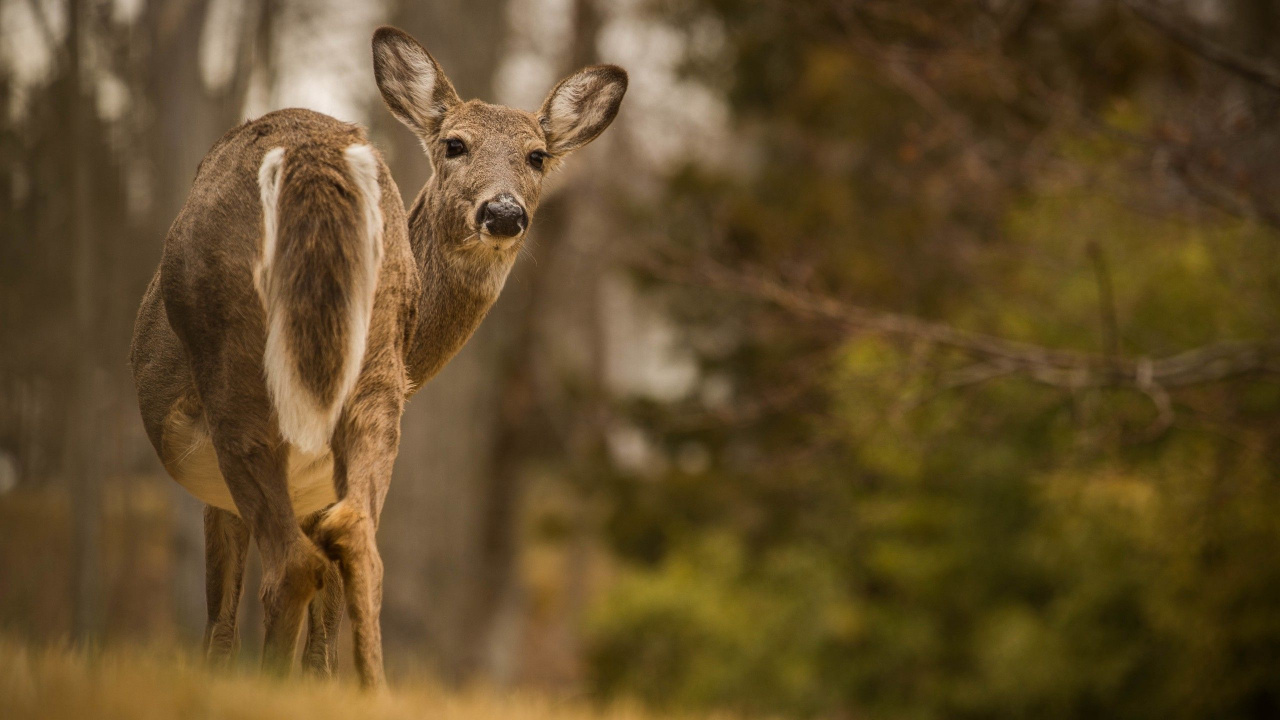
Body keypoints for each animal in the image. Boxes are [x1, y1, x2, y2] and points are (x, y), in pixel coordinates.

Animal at [127, 28, 627, 686]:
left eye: (537, 155)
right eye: (454, 144)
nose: (503, 212)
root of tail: (314, 160)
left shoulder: (217, 483)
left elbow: (222, 625)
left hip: (235, 364)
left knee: (291, 567)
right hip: (374, 367)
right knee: (355, 539)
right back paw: (371, 690)